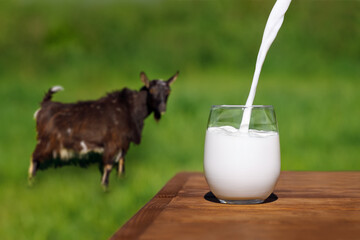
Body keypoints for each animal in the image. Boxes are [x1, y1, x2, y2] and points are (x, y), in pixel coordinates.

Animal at [28, 71, 178, 188]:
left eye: (168, 91)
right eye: (151, 90)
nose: (162, 109)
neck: (130, 108)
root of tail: (44, 105)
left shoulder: (124, 143)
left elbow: (122, 162)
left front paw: (121, 180)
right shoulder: (112, 143)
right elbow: (108, 166)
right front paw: (104, 189)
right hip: (46, 141)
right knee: (34, 158)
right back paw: (31, 183)